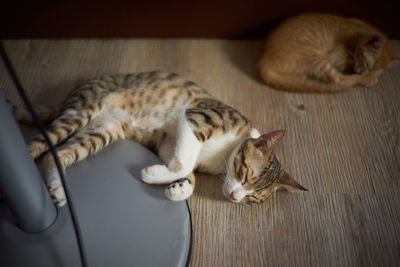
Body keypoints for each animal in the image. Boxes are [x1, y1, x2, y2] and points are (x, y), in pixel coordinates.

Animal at [16, 71, 306, 207]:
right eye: (246, 174)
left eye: (252, 199)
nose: (235, 197)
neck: (222, 155)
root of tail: (71, 95)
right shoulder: (196, 119)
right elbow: (184, 162)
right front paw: (153, 175)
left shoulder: (169, 142)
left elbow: (185, 168)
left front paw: (178, 188)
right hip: (83, 111)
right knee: (38, 146)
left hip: (101, 131)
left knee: (57, 155)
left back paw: (56, 188)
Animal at [258, 13, 398, 93]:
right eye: (367, 64)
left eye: (372, 68)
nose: (362, 72)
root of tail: (264, 60)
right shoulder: (336, 57)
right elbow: (345, 66)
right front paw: (366, 76)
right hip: (316, 58)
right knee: (338, 80)